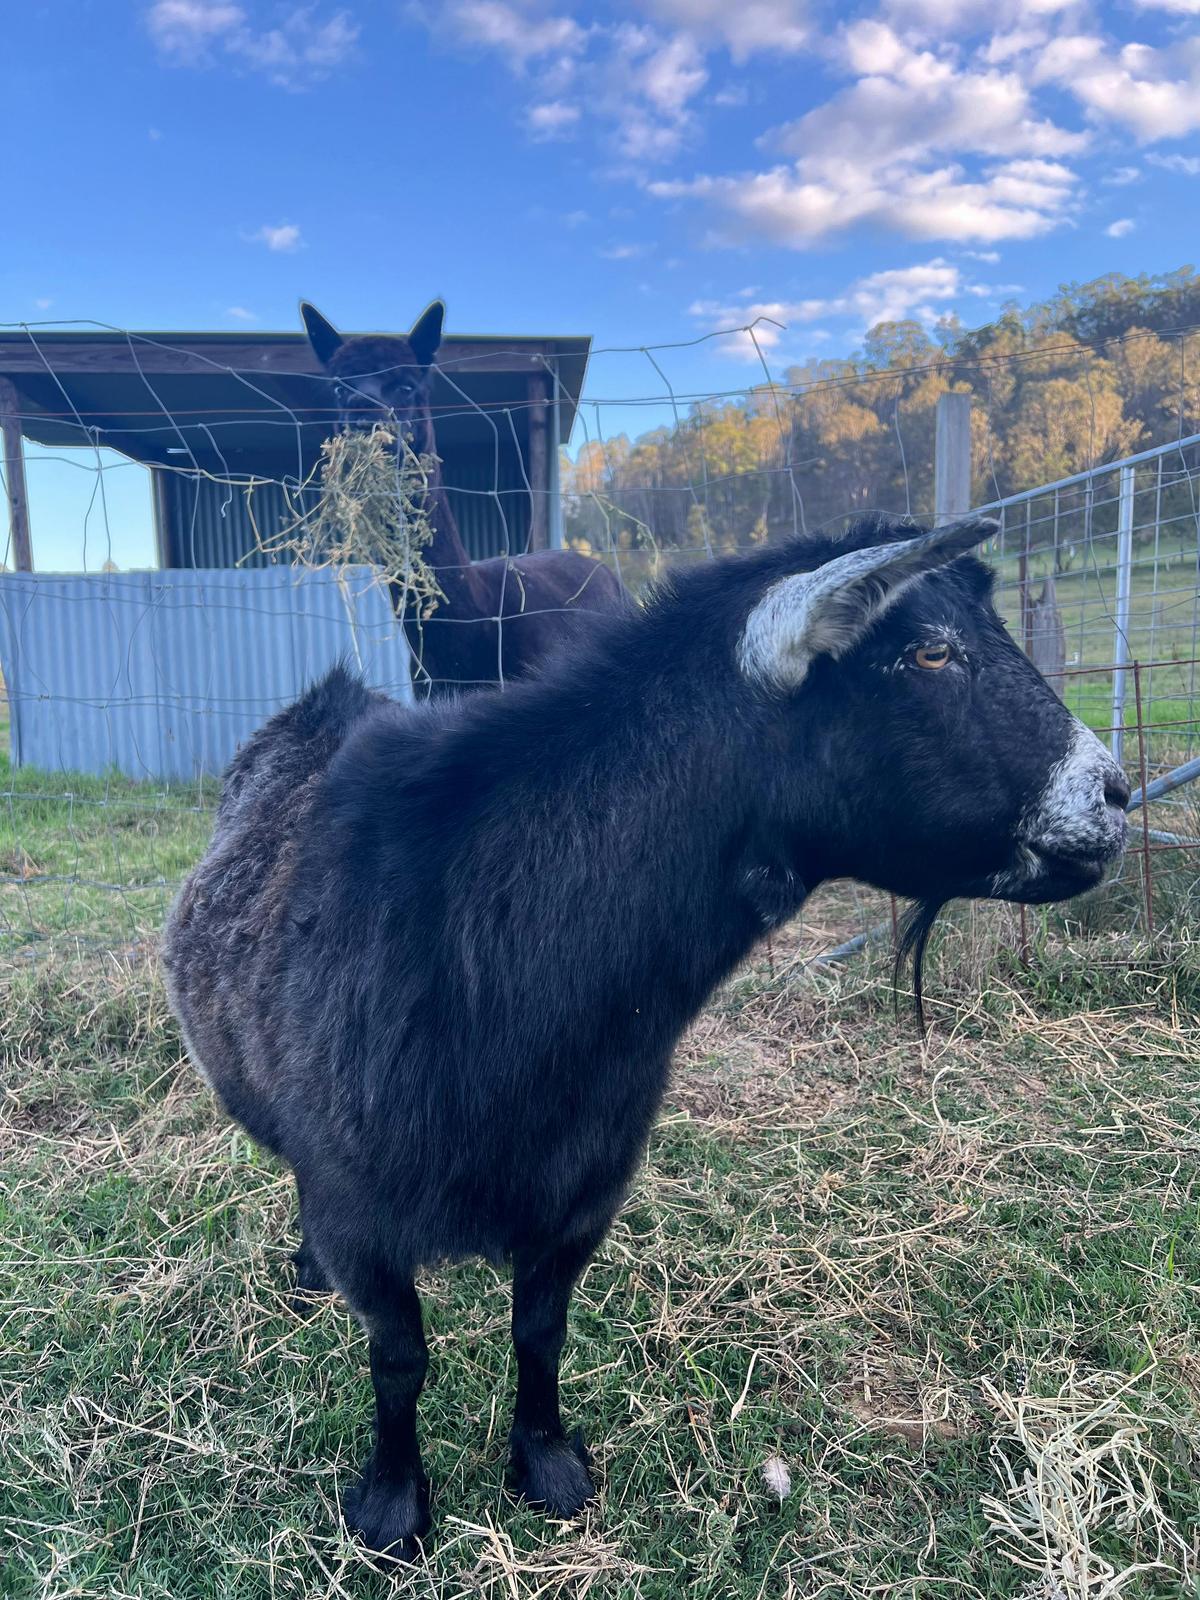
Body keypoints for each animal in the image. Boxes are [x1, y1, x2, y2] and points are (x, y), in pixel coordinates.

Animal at [162, 514, 1128, 1558]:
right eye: (930, 652)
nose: (1113, 796)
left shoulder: (584, 1189)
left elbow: (540, 1330)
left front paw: (546, 1466)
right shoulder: (359, 1206)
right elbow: (399, 1357)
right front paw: (390, 1506)